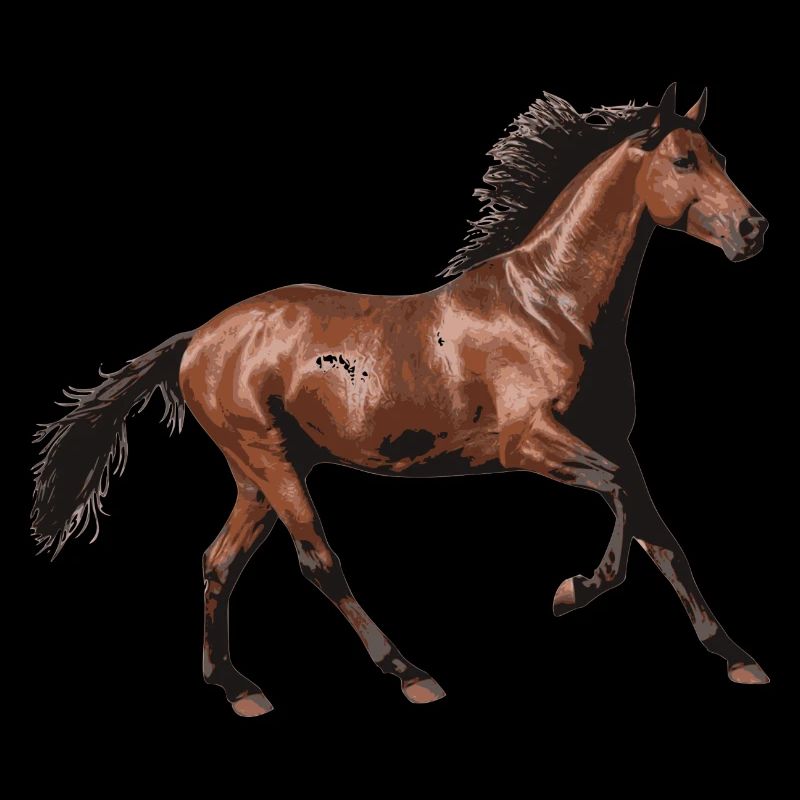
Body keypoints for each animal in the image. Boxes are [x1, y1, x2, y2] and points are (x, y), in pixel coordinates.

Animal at [31, 83, 770, 717]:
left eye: (722, 158)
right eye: (683, 159)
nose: (753, 229)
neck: (549, 306)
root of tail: (198, 339)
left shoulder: (614, 440)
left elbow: (663, 539)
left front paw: (738, 659)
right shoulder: (531, 442)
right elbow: (617, 499)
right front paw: (571, 592)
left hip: (258, 475)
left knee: (219, 562)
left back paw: (239, 689)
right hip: (270, 461)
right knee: (317, 562)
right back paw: (411, 675)